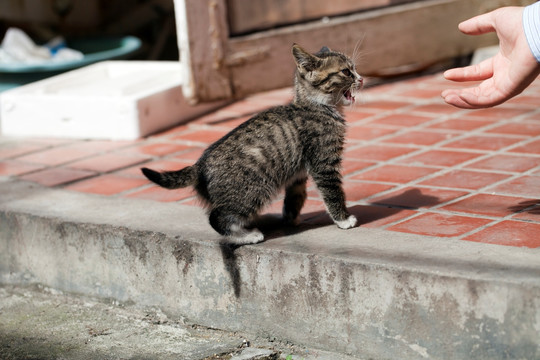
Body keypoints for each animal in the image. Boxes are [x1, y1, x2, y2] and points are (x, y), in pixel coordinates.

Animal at [142, 43, 362, 243]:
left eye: (354, 68)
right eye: (346, 72)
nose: (360, 78)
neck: (315, 105)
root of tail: (199, 165)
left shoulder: (298, 174)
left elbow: (295, 197)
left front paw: (290, 219)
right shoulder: (324, 161)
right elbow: (332, 191)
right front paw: (343, 220)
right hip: (253, 190)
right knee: (217, 217)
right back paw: (247, 236)